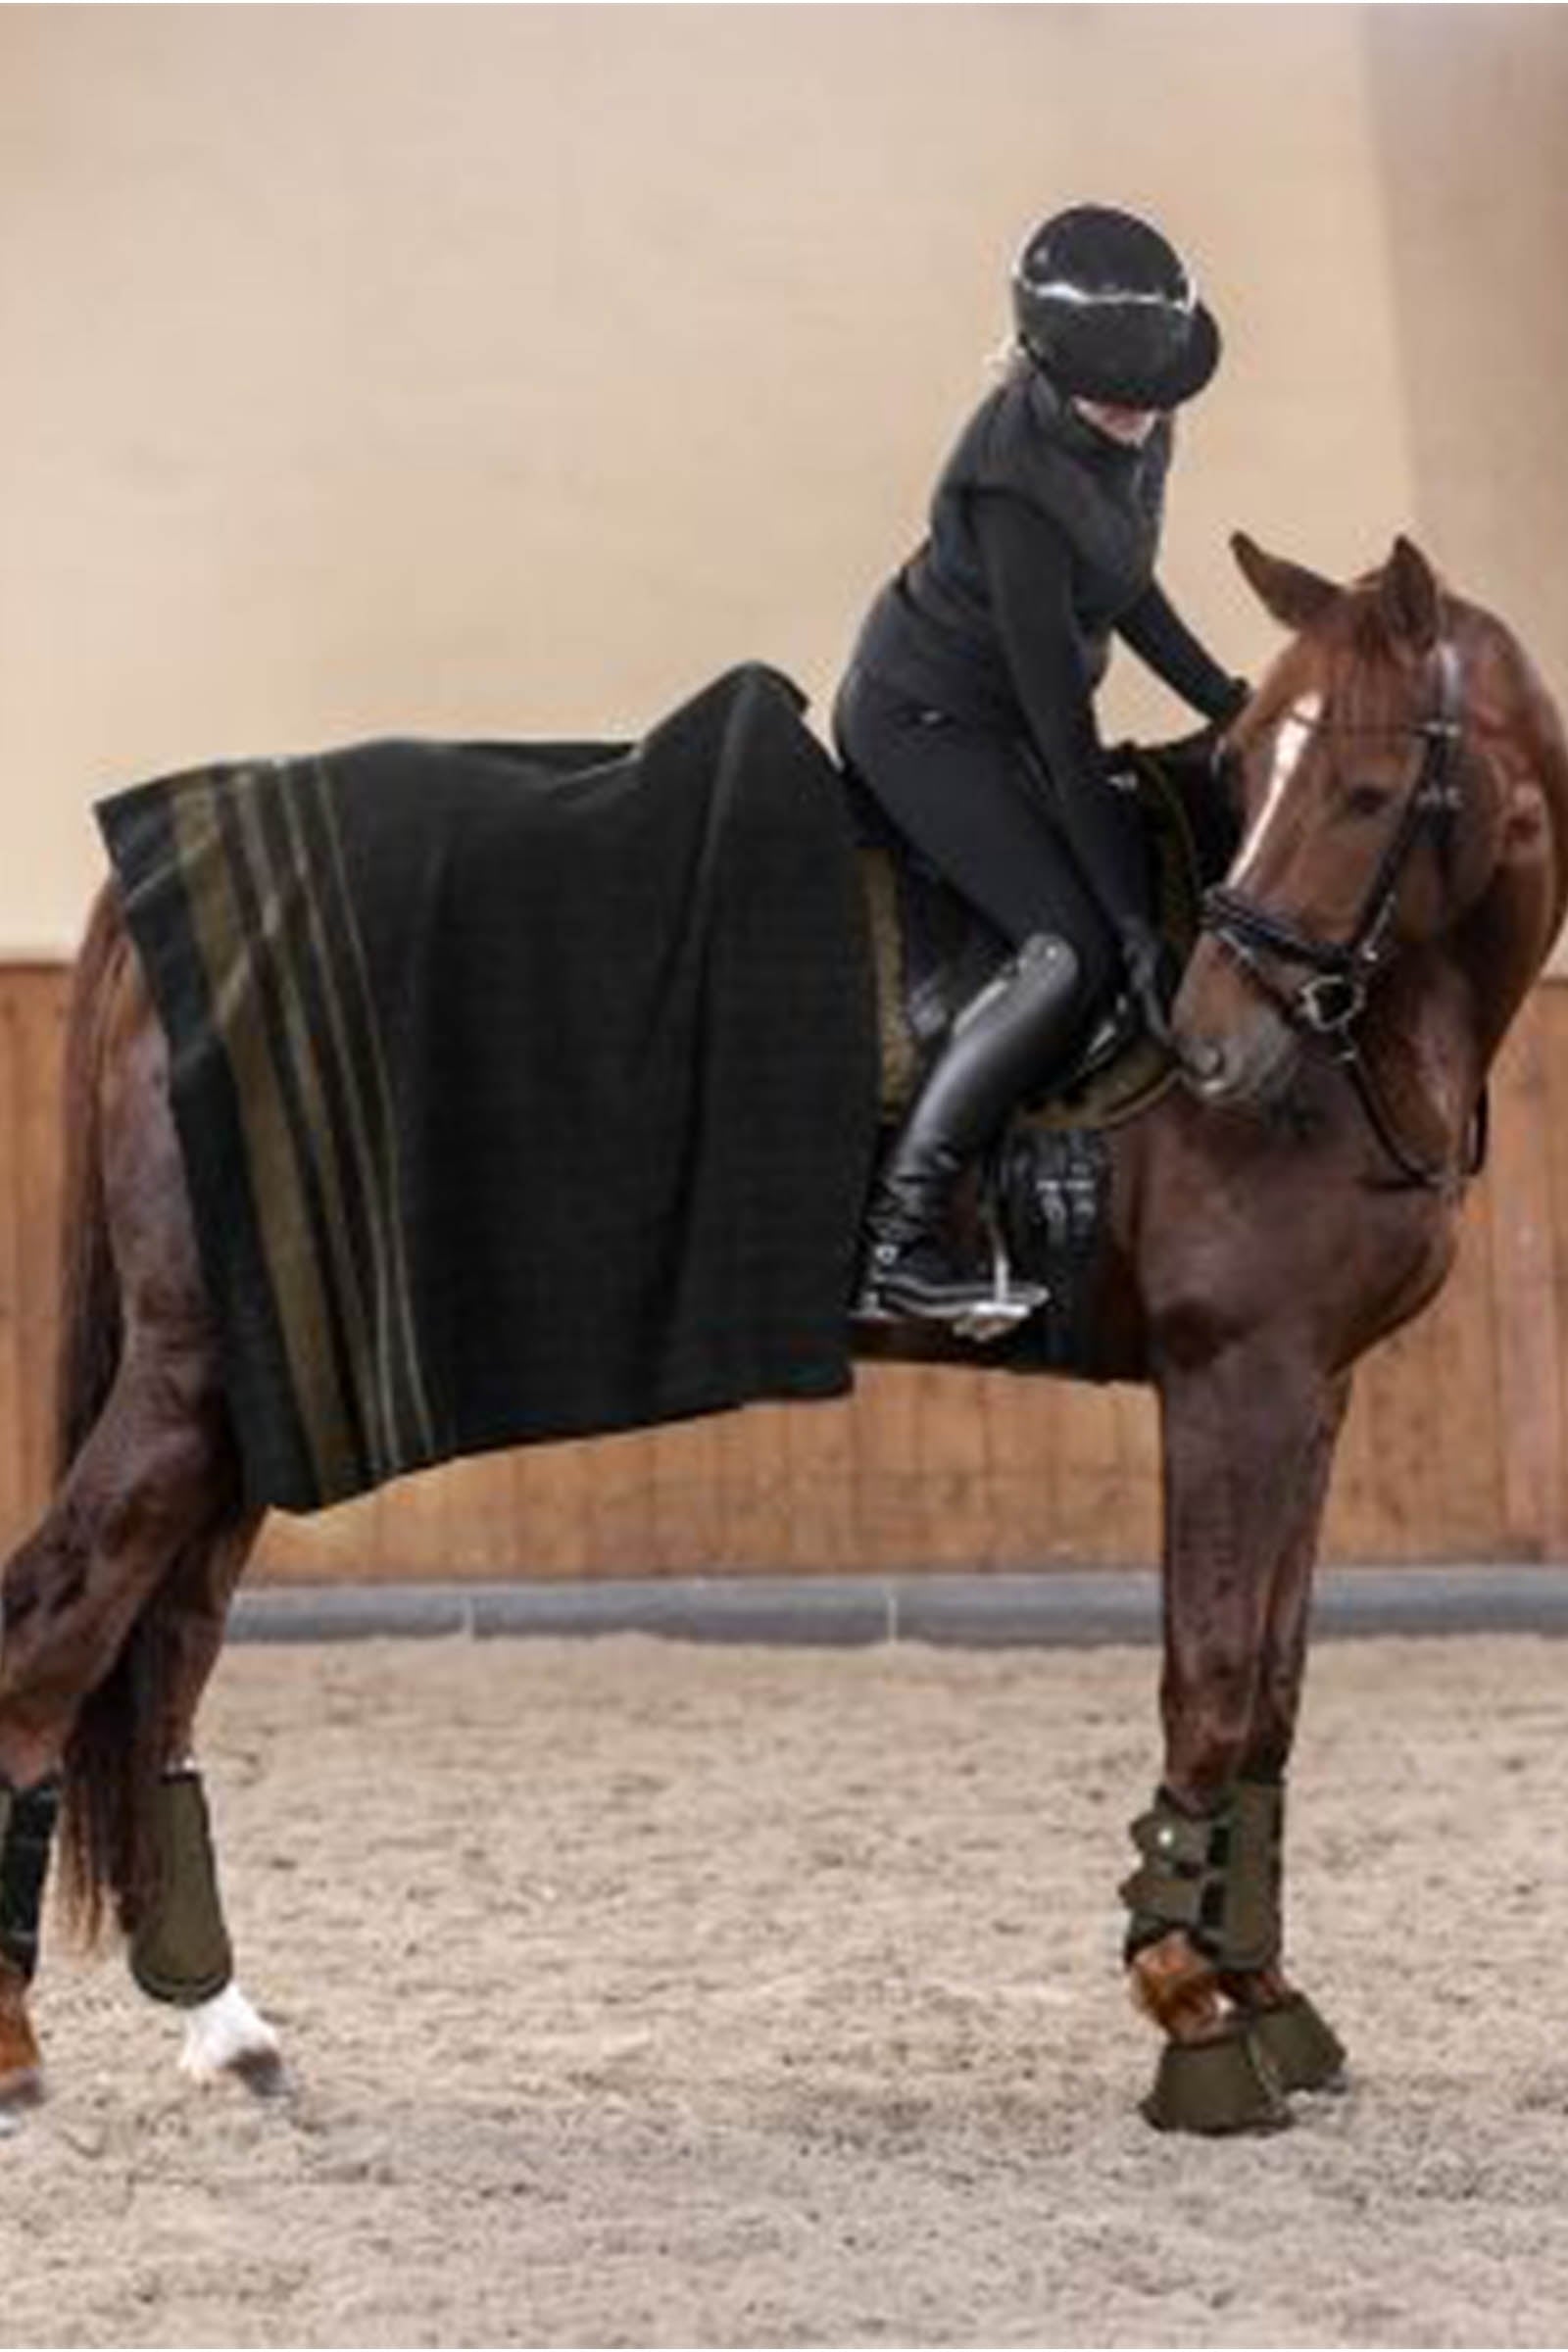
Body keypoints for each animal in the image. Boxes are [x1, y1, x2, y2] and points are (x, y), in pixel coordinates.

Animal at [0, 531, 1561, 2136]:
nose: (1213, 1044)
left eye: (1364, 790)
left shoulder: (1310, 1389)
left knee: (163, 1653)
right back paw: (18, 2044)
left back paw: (227, 2029)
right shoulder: (1229, 1379)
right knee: (55, 1626)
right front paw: (1195, 2013)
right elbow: (1213, 1680)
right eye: (1260, 769)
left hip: (251, 1390)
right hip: (192, 1378)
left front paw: (1267, 1997)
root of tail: (175, 873)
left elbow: (1273, 1703)